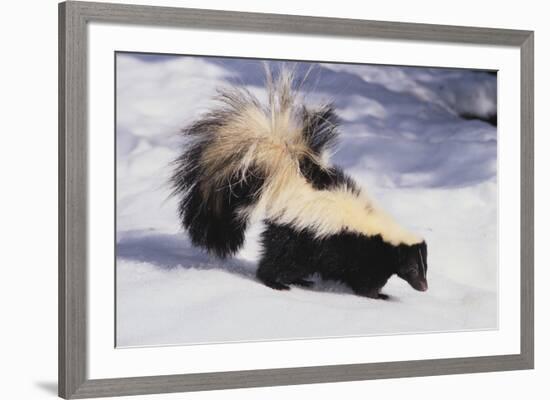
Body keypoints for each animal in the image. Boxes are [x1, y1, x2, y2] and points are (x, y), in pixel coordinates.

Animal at [170, 69, 430, 298]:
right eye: (413, 268)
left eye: (425, 266)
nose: (424, 287)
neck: (383, 234)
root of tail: (288, 178)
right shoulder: (362, 253)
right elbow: (366, 281)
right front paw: (378, 296)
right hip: (294, 237)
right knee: (277, 260)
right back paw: (276, 283)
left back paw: (300, 280)